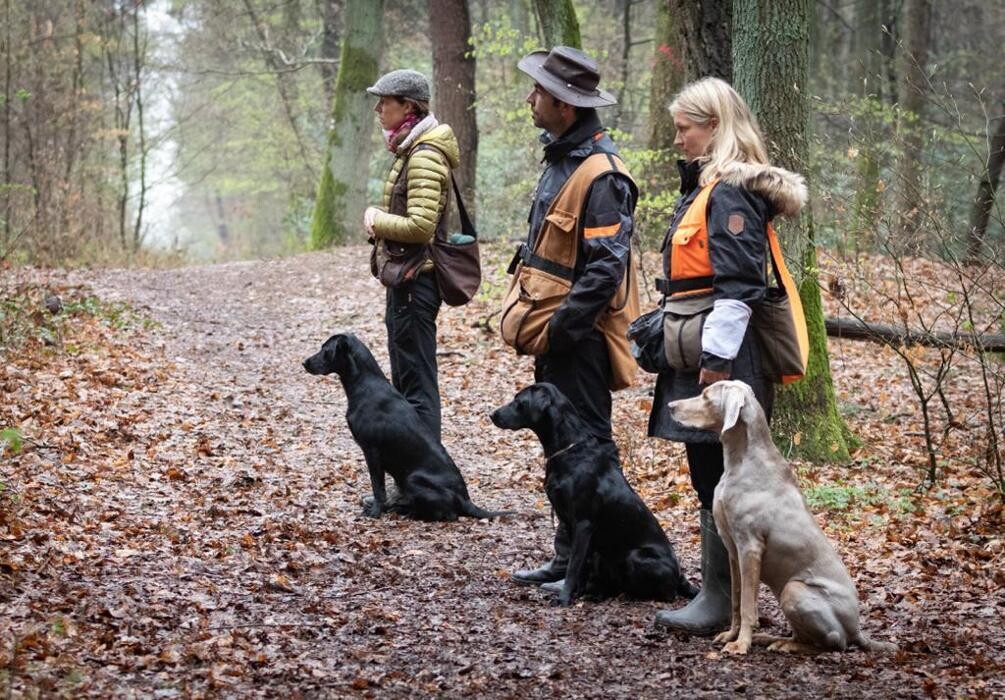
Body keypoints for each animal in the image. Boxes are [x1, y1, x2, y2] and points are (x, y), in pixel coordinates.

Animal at [299, 331, 500, 518]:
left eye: (326, 351)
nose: (304, 362)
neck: (365, 383)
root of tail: (466, 500)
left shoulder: (372, 451)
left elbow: (378, 488)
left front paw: (375, 512)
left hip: (413, 479)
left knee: (448, 514)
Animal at [488, 381, 695, 606]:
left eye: (519, 401)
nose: (492, 414)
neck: (568, 450)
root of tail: (681, 576)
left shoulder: (583, 523)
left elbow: (573, 566)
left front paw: (563, 599)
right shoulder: (569, 523)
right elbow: (578, 565)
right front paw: (575, 594)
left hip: (635, 556)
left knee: (667, 594)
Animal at [667, 379, 896, 650]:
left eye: (705, 396)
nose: (670, 406)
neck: (741, 462)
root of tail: (858, 629)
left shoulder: (750, 548)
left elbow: (747, 605)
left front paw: (741, 644)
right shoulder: (733, 549)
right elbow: (735, 600)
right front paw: (732, 635)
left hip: (794, 590)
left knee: (833, 642)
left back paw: (786, 645)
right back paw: (773, 639)